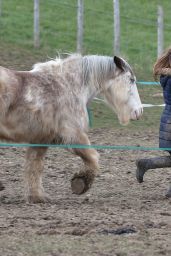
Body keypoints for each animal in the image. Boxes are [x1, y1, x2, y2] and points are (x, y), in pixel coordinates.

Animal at [0, 53, 143, 202]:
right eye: (131, 79)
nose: (139, 111)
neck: (69, 86)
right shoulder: (73, 135)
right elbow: (93, 158)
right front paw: (81, 182)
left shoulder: (40, 140)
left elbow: (34, 167)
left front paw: (37, 196)